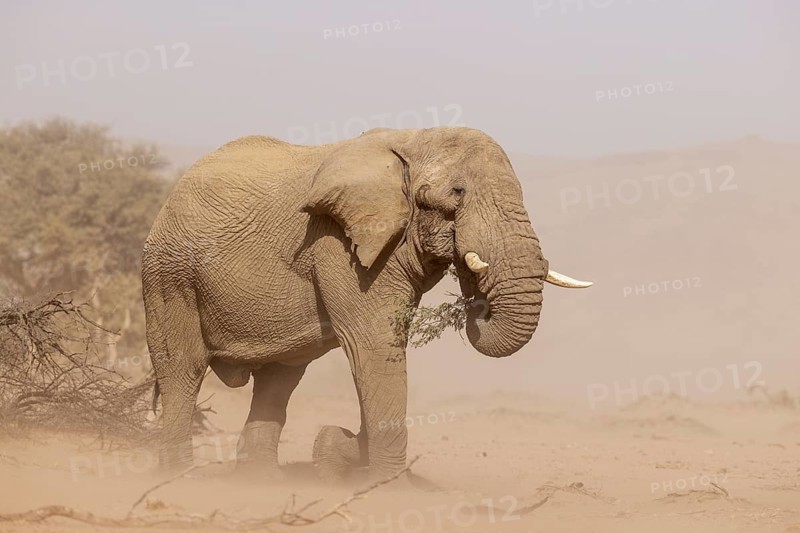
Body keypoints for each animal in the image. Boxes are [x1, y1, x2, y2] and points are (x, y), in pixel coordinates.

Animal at [141, 126, 591, 481]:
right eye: (457, 193)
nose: (473, 283)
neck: (414, 140)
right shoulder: (337, 244)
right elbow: (373, 343)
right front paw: (387, 484)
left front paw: (339, 450)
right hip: (169, 276)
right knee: (183, 369)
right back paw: (179, 478)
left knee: (280, 379)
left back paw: (261, 481)